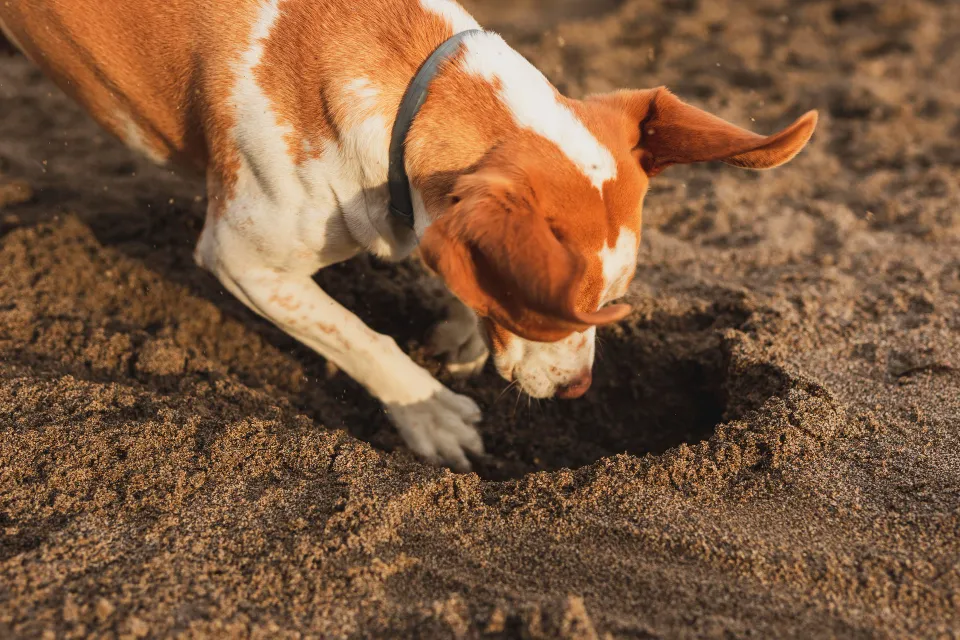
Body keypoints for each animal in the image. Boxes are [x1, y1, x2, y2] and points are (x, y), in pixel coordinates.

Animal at [0, 0, 816, 470]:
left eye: (620, 297)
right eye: (560, 313)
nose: (579, 389)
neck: (411, 83)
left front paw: (458, 329)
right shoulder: (242, 259)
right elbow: (358, 336)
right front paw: (430, 414)